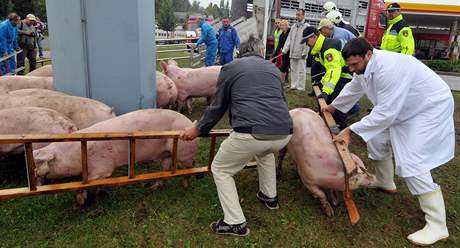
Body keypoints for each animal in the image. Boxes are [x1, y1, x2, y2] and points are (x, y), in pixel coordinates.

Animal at [32, 109, 198, 194]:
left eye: (46, 161)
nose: (34, 172)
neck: (76, 154)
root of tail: (190, 123)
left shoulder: (102, 167)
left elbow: (87, 183)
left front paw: (81, 202)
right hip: (166, 153)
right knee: (165, 170)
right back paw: (153, 187)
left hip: (184, 152)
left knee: (191, 166)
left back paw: (185, 184)